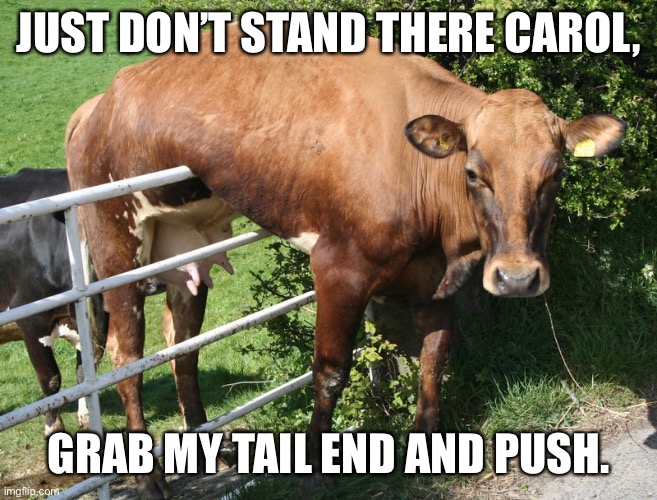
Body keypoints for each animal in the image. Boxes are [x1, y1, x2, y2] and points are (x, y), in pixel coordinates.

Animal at [66, 26, 625, 497]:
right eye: (473, 172)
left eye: (556, 173)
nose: (516, 277)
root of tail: (97, 103)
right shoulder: (339, 270)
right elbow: (330, 371)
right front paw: (315, 468)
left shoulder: (436, 280)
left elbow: (433, 358)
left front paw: (428, 448)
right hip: (115, 247)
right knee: (126, 357)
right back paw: (149, 481)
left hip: (183, 246)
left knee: (181, 344)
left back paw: (208, 446)